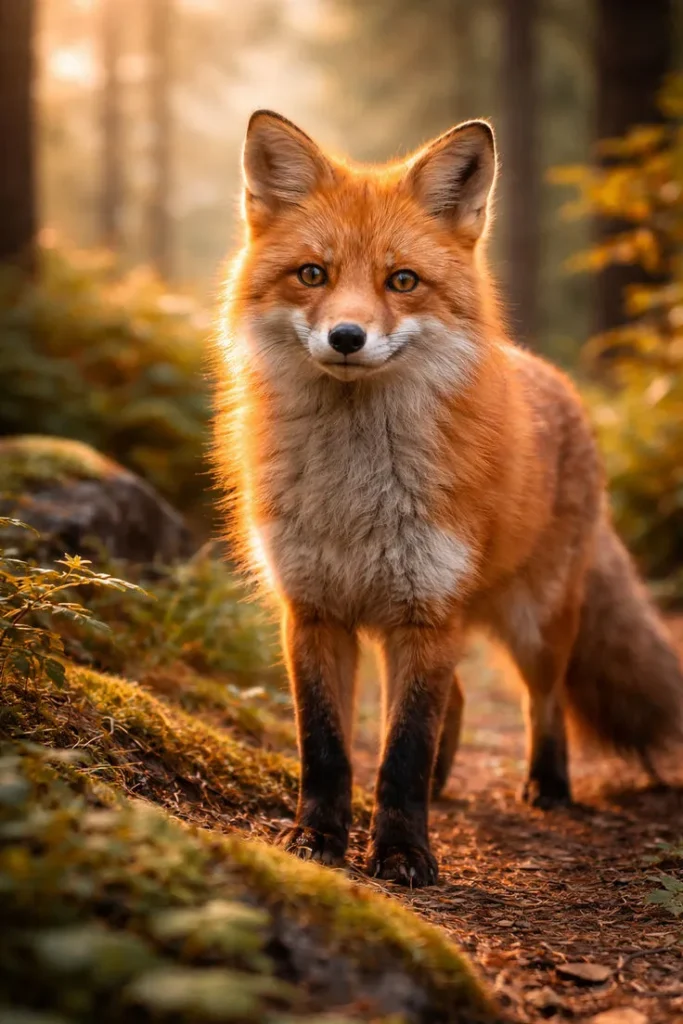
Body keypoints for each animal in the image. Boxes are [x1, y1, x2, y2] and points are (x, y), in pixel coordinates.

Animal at [212, 109, 683, 887]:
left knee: (543, 702)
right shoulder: (313, 611)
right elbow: (327, 749)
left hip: (534, 622)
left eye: (401, 281)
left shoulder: (426, 610)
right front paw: (319, 839)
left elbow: (402, 751)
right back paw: (445, 782)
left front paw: (403, 852)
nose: (347, 336)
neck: (356, 490)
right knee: (457, 700)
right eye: (312, 274)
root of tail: (552, 379)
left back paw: (548, 786)